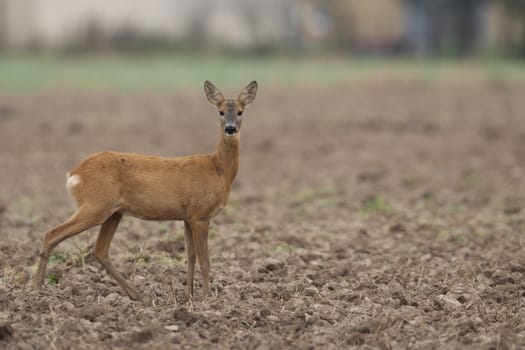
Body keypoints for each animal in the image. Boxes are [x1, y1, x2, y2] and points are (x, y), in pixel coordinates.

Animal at [31, 80, 256, 300]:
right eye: (220, 111)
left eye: (240, 111)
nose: (230, 129)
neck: (218, 169)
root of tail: (74, 174)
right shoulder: (200, 215)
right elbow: (204, 260)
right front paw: (207, 299)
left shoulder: (188, 216)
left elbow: (190, 256)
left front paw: (189, 296)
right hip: (95, 205)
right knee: (52, 233)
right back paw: (36, 288)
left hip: (114, 213)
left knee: (100, 250)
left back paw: (136, 294)